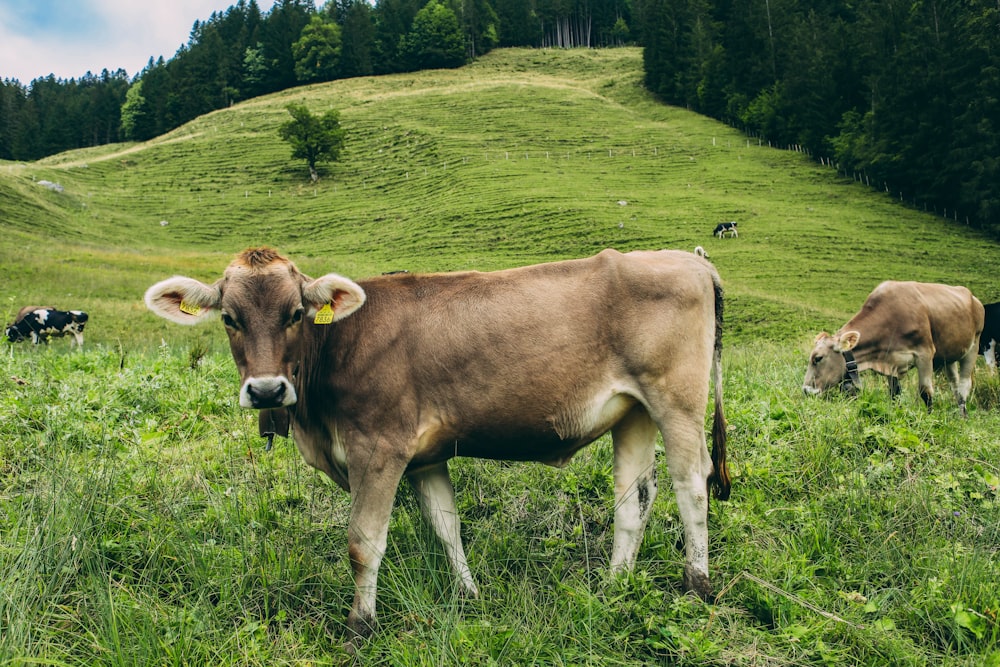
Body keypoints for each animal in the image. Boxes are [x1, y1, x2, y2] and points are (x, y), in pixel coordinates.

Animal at [145, 248, 732, 640]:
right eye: (229, 318)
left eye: (295, 314)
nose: (266, 390)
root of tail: (690, 259)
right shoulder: (425, 457)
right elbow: (447, 527)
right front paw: (468, 596)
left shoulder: (378, 449)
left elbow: (363, 542)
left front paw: (360, 626)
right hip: (633, 410)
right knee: (634, 497)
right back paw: (614, 585)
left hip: (676, 399)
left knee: (691, 482)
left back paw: (697, 582)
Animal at [800, 282, 980, 418]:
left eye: (818, 358)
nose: (806, 391)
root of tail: (974, 298)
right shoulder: (891, 361)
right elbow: (894, 394)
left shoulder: (925, 353)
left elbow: (926, 392)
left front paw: (929, 419)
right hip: (949, 357)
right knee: (954, 385)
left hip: (973, 347)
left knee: (964, 385)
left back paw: (963, 417)